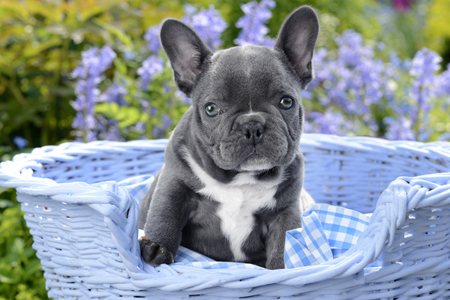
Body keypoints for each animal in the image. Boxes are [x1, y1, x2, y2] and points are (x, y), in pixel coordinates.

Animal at [139, 5, 318, 270]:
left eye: (287, 102)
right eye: (211, 109)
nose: (252, 125)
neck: (239, 180)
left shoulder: (285, 211)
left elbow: (284, 244)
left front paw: (282, 270)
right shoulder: (174, 184)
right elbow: (164, 216)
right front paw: (156, 247)